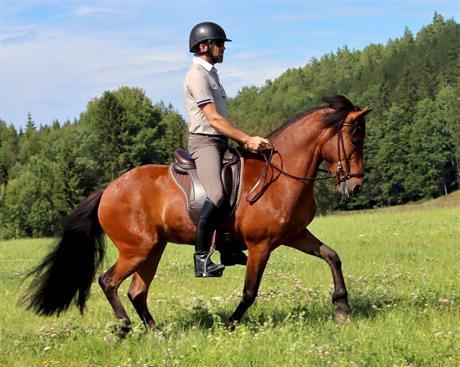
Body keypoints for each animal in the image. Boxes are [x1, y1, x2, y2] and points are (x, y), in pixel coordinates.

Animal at [23, 95, 372, 336]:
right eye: (355, 138)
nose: (355, 186)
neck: (280, 175)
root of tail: (108, 190)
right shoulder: (261, 245)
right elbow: (250, 292)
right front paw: (230, 325)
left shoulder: (294, 235)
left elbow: (331, 256)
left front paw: (342, 307)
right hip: (137, 249)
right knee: (108, 281)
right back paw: (124, 327)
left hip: (152, 250)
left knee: (137, 292)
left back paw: (157, 333)